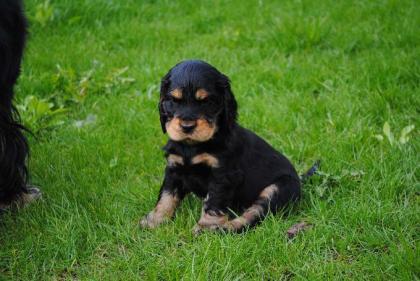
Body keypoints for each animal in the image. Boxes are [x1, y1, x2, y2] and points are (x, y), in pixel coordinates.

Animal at [141, 59, 316, 232]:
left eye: (207, 101)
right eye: (173, 101)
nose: (187, 126)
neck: (192, 147)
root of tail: (300, 180)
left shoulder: (223, 175)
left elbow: (214, 201)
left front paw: (206, 227)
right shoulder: (174, 168)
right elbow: (166, 196)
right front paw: (155, 220)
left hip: (277, 189)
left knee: (254, 214)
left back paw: (226, 227)